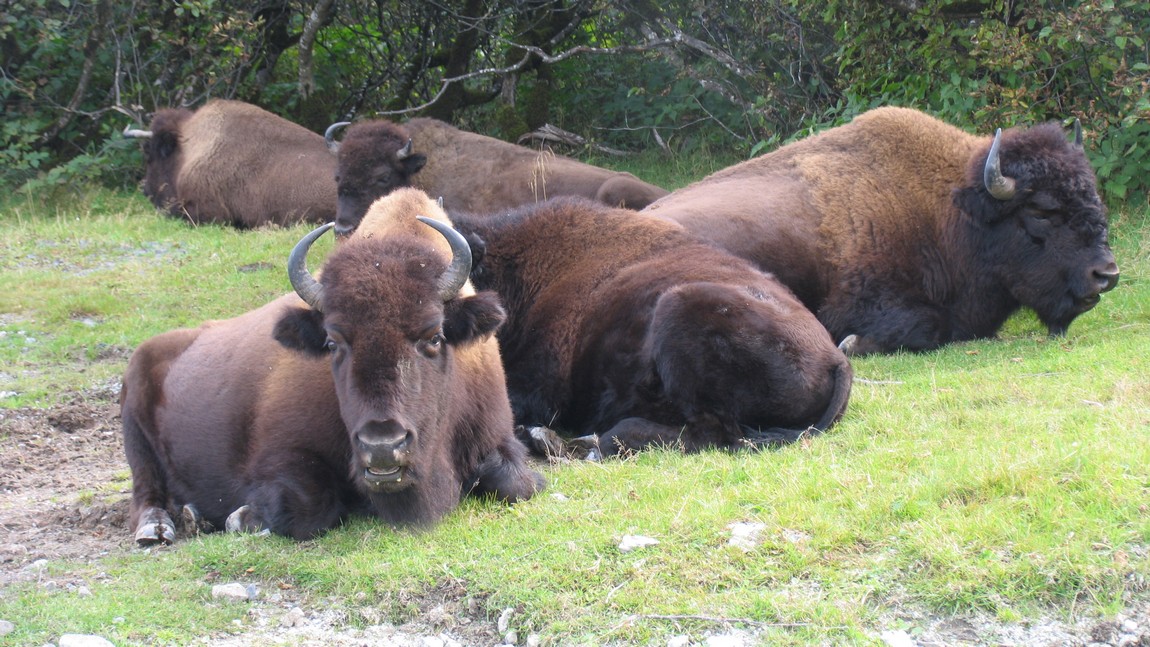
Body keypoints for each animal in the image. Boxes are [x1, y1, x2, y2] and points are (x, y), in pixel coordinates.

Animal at [120, 189, 543, 544]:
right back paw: (160, 527)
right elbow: (309, 508)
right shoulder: (282, 456)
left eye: (435, 336)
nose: (382, 447)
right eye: (333, 342)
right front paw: (240, 517)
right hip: (134, 432)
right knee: (146, 492)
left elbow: (519, 484)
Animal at [642, 107, 1120, 355]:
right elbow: (926, 327)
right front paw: (852, 343)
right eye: (1041, 209)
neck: (949, 209)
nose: (1106, 275)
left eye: (1092, 194)